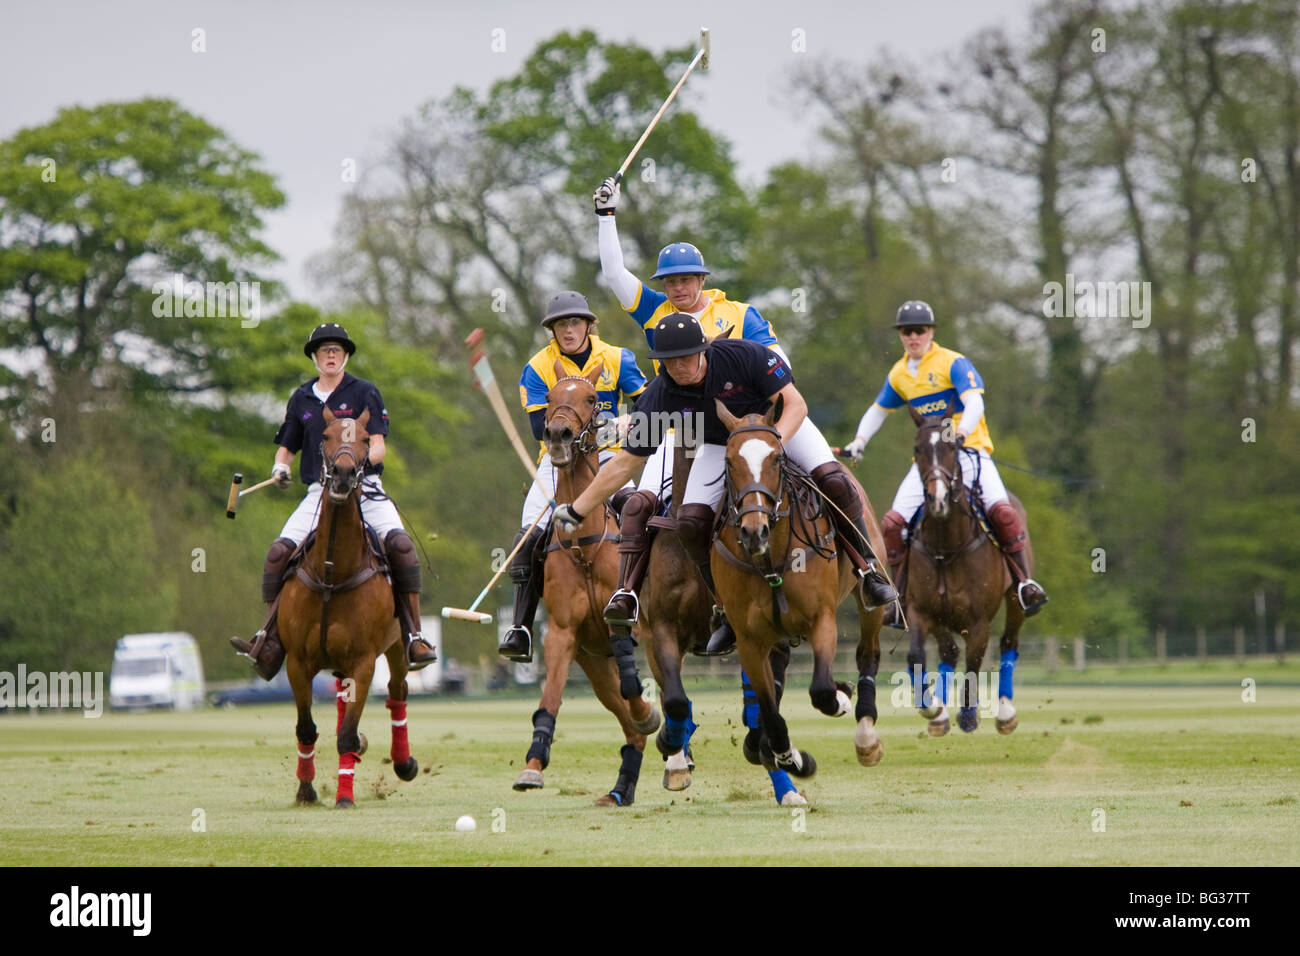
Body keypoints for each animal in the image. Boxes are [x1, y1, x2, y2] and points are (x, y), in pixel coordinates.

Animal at [276, 408, 418, 811]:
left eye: (367, 439)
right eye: (324, 435)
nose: (341, 473)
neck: (332, 572)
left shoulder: (364, 662)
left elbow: (346, 735)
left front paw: (343, 796)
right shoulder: (297, 662)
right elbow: (307, 729)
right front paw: (306, 792)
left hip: (396, 646)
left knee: (397, 693)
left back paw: (403, 763)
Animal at [509, 361, 660, 806]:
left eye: (592, 398)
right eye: (551, 396)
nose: (558, 435)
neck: (583, 544)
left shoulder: (624, 622)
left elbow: (633, 682)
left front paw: (649, 712)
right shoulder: (562, 634)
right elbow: (550, 698)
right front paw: (532, 766)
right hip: (594, 666)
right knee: (626, 720)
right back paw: (620, 789)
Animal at [707, 403, 889, 785]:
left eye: (777, 459)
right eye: (728, 461)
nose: (754, 532)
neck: (771, 558)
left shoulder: (822, 618)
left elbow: (821, 689)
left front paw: (841, 695)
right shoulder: (749, 640)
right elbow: (770, 711)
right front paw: (791, 758)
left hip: (870, 600)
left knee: (868, 652)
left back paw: (866, 734)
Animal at [904, 408, 1024, 738]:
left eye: (952, 448)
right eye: (918, 449)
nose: (938, 500)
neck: (946, 546)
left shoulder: (979, 621)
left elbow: (974, 661)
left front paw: (969, 714)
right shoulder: (921, 610)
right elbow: (918, 655)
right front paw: (930, 706)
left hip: (1016, 599)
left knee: (1009, 643)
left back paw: (1005, 712)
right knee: (948, 651)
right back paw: (940, 716)